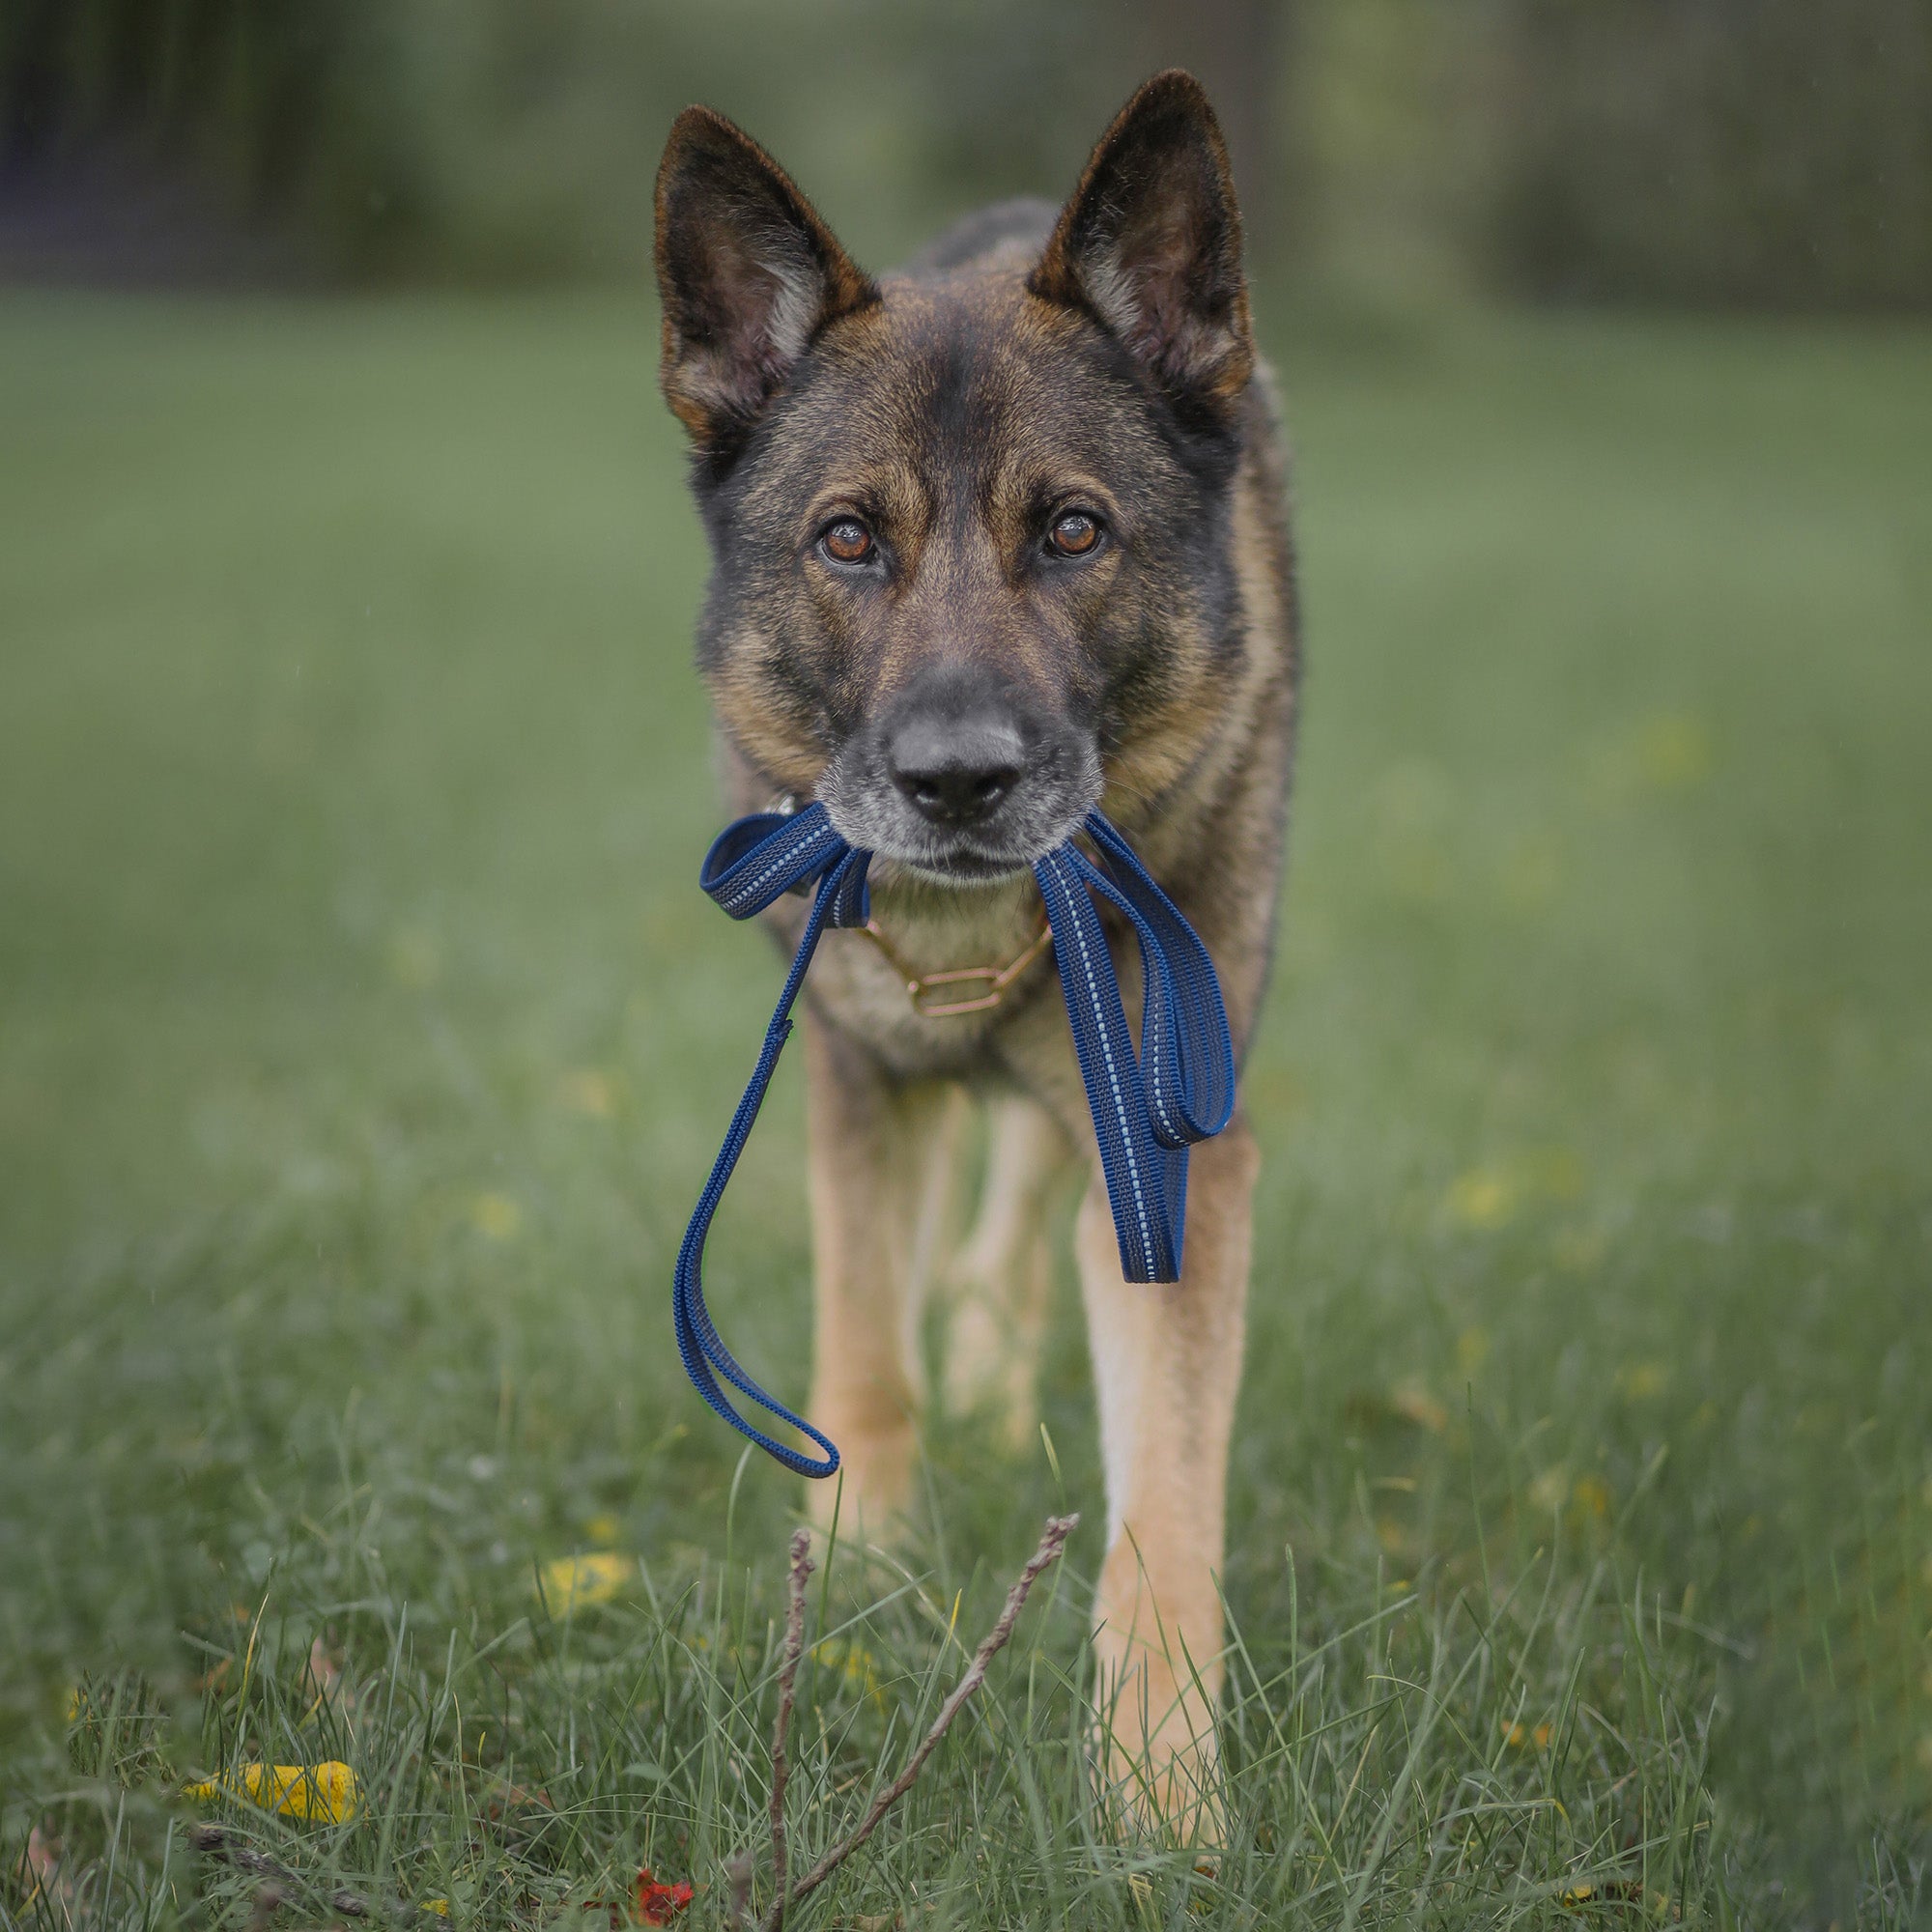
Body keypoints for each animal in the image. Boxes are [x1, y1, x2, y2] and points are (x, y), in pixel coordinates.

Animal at [653, 71, 1298, 1824]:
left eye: (1072, 531)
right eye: (848, 542)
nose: (956, 781)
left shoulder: (1169, 1144)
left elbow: (1169, 1498)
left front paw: (1160, 1794)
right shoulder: (855, 1084)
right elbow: (865, 1350)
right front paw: (859, 1581)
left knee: (1021, 1237)